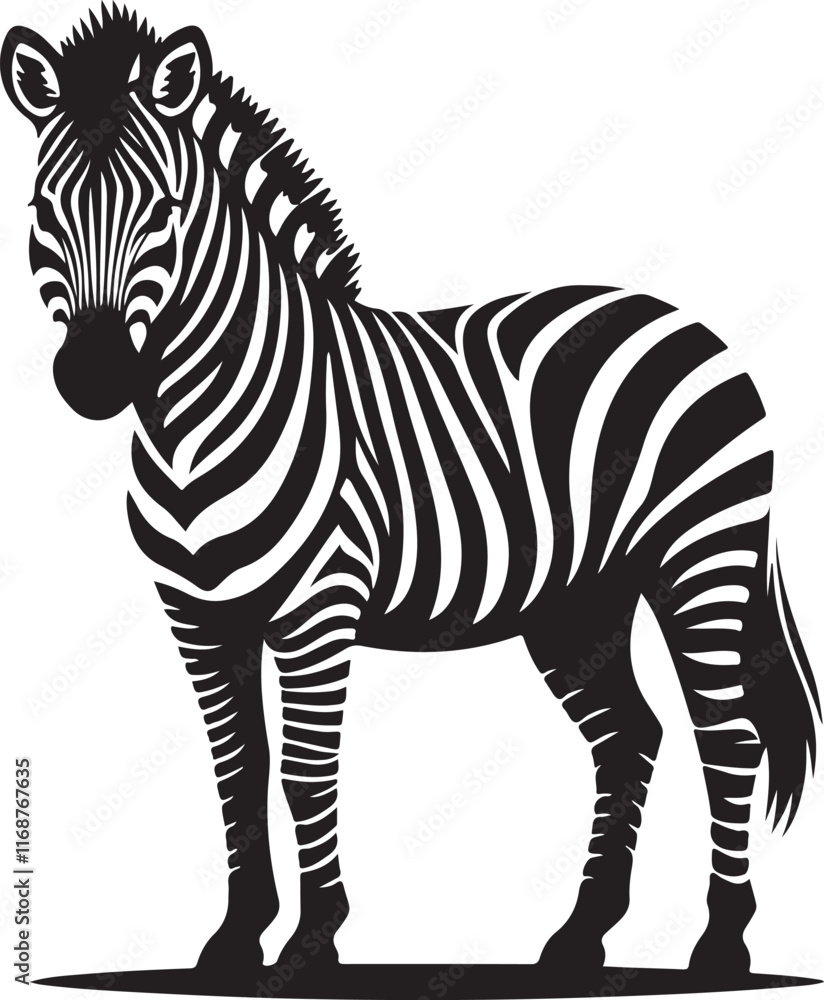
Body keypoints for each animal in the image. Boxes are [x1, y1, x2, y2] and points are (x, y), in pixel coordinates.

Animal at [2, 5, 819, 982]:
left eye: (162, 209)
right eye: (43, 211)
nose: (94, 379)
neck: (191, 427)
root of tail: (688, 323)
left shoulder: (317, 610)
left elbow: (303, 770)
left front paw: (313, 941)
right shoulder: (199, 616)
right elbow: (238, 769)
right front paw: (236, 940)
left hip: (700, 559)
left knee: (725, 739)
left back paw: (720, 944)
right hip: (578, 600)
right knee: (630, 736)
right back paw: (579, 938)